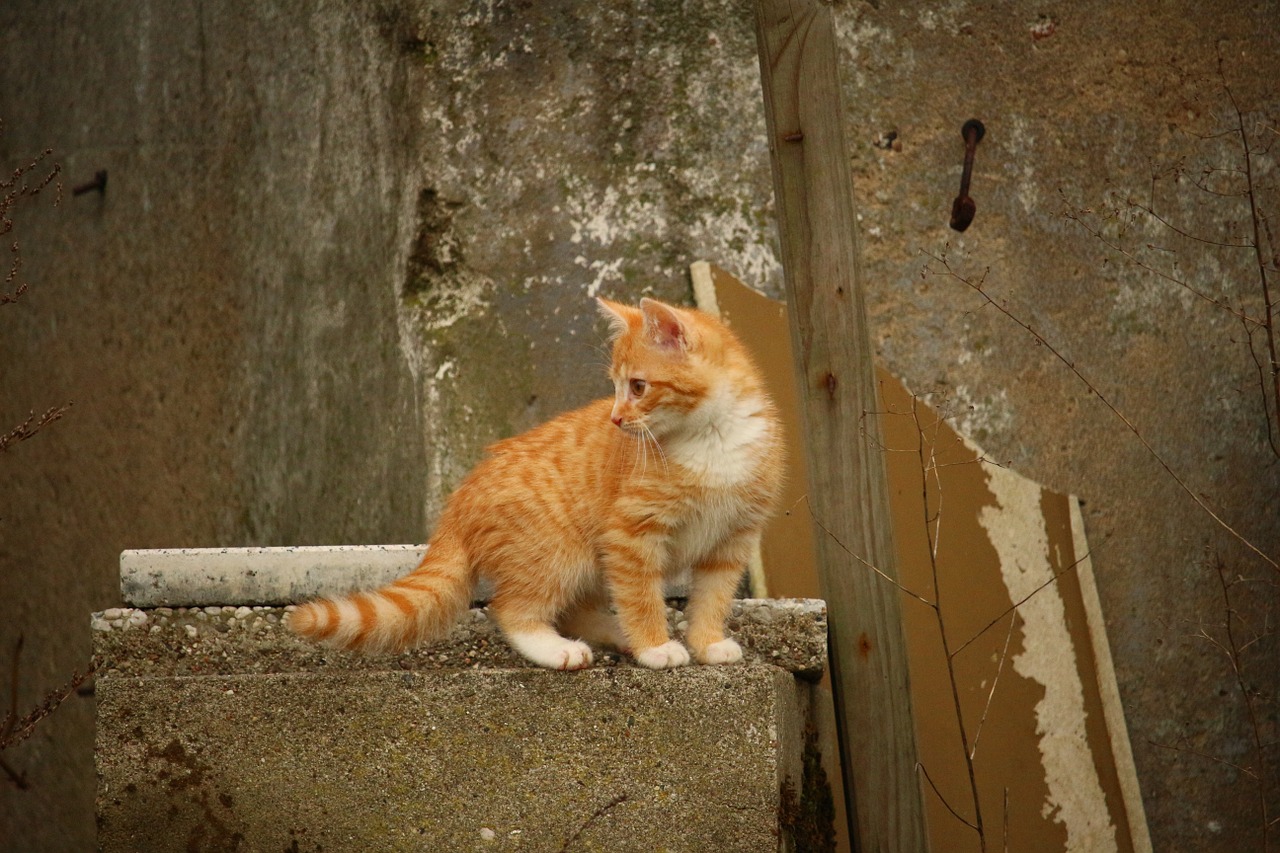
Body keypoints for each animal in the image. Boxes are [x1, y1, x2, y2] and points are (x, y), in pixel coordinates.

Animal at [290, 295, 783, 666]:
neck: (711, 437)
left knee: (575, 610)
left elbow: (713, 597)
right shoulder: (631, 534)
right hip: (558, 550)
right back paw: (558, 648)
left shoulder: (734, 539)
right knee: (511, 609)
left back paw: (614, 633)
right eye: (617, 386)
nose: (615, 418)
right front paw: (655, 646)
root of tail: (461, 495)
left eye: (638, 387)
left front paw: (706, 642)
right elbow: (641, 595)